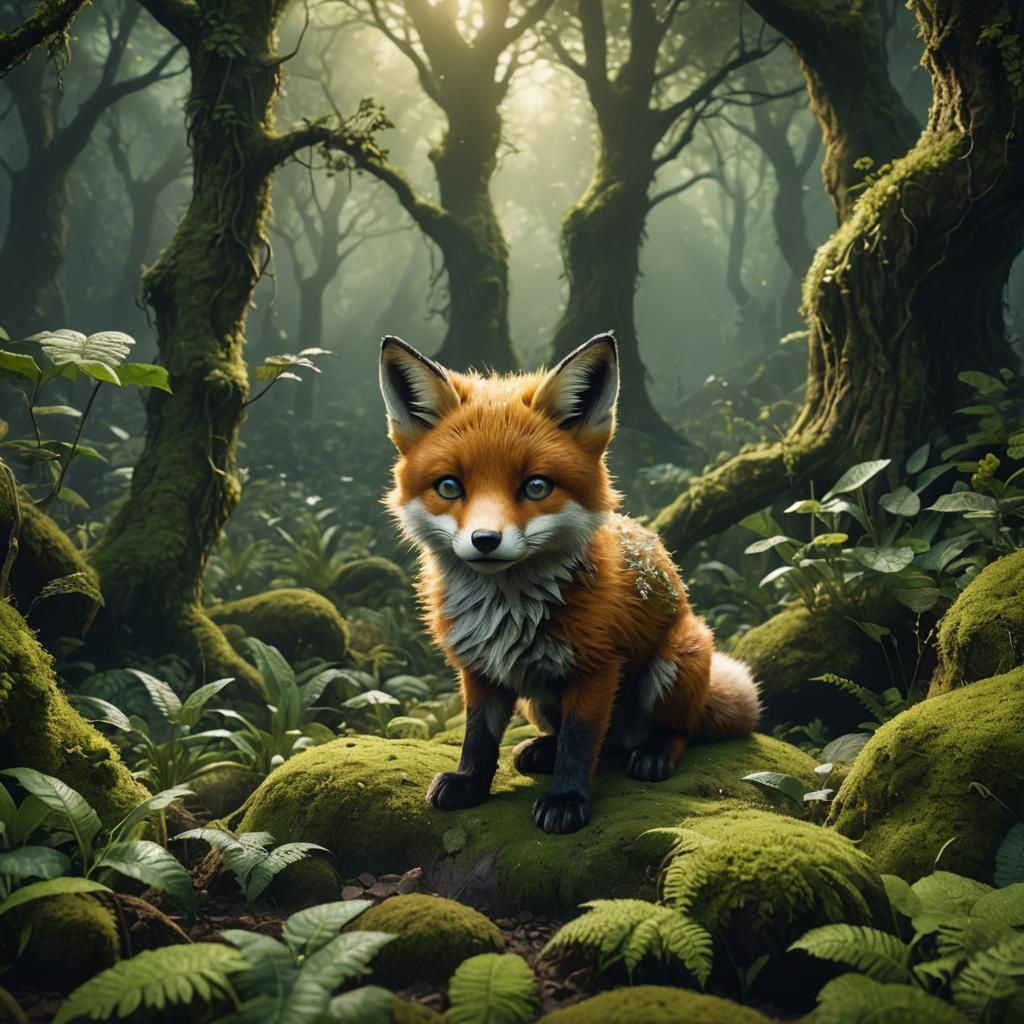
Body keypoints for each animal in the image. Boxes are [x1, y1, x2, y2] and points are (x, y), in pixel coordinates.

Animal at [378, 332, 761, 834]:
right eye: (449, 487)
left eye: (536, 486)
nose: (485, 540)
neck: (508, 610)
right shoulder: (479, 668)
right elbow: (479, 736)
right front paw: (470, 783)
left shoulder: (597, 666)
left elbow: (579, 742)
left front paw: (566, 800)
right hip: (537, 703)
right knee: (599, 742)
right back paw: (541, 750)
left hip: (679, 656)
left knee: (669, 731)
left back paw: (654, 752)